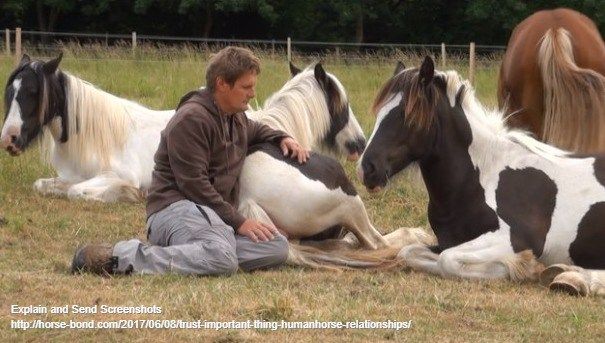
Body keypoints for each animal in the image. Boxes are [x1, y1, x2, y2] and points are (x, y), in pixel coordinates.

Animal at [358, 57, 604, 296]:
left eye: (408, 115)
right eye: (379, 112)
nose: (366, 168)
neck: (478, 180)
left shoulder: (514, 240)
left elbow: (447, 260)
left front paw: (523, 267)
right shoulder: (447, 242)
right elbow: (409, 252)